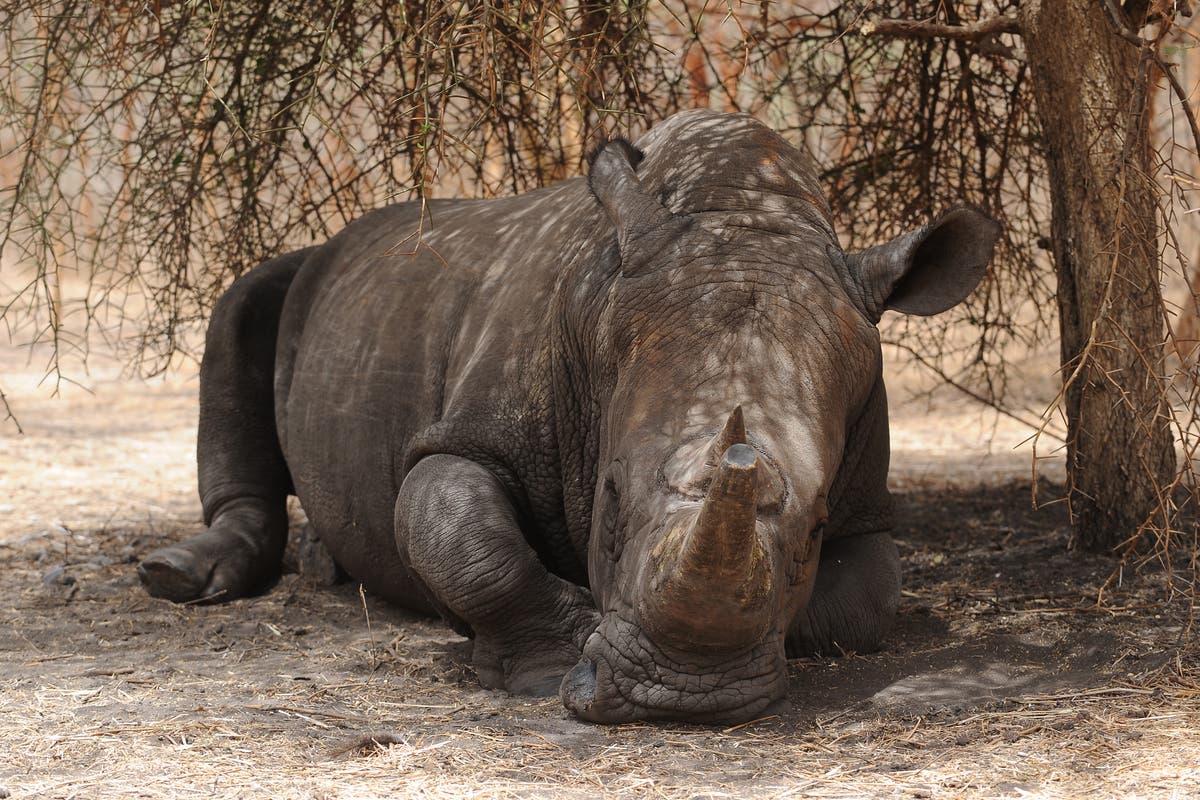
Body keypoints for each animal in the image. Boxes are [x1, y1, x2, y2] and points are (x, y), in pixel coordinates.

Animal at [138, 110, 999, 724]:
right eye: (608, 496)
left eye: (818, 524)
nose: (681, 699)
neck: (741, 218)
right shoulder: (473, 433)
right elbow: (455, 525)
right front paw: (547, 661)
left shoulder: (865, 497)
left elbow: (861, 601)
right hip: (310, 273)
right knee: (244, 304)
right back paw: (180, 576)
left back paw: (324, 562)